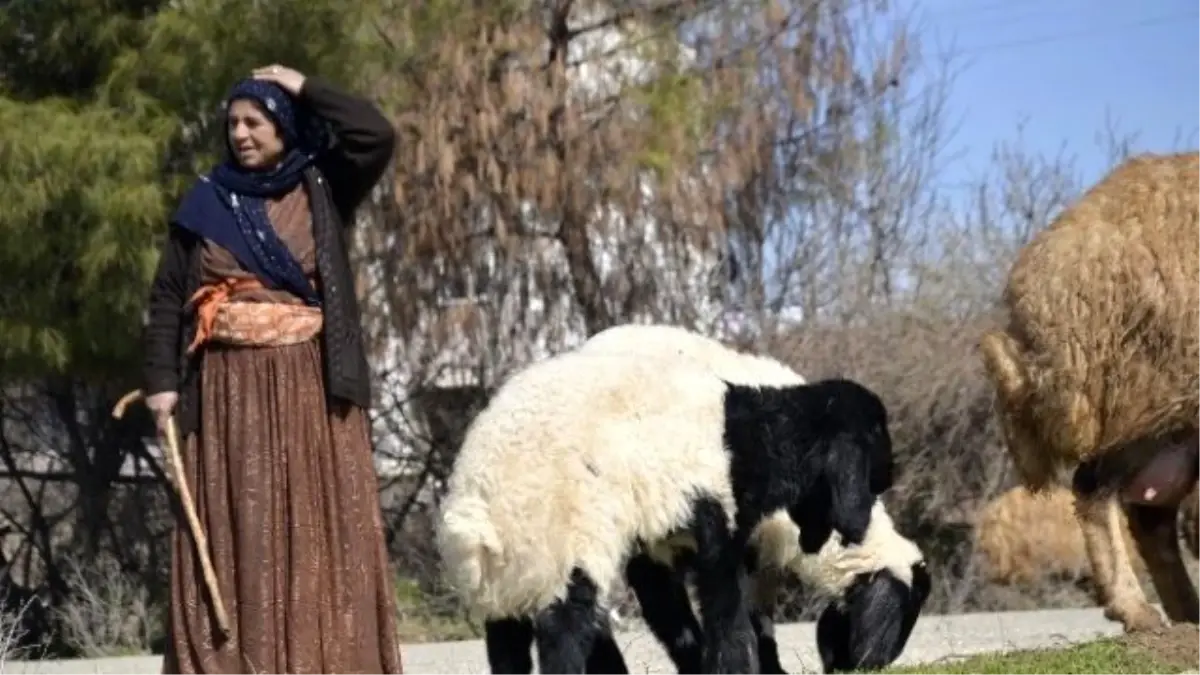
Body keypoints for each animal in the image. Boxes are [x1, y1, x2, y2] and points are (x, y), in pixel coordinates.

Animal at [441, 343, 907, 667]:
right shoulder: (716, 521)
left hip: (509, 574)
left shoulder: (661, 537)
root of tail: (476, 508)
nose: (890, 476)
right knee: (564, 632)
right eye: (876, 433)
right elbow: (729, 622)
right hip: (563, 538)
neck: (750, 438)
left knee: (508, 645)